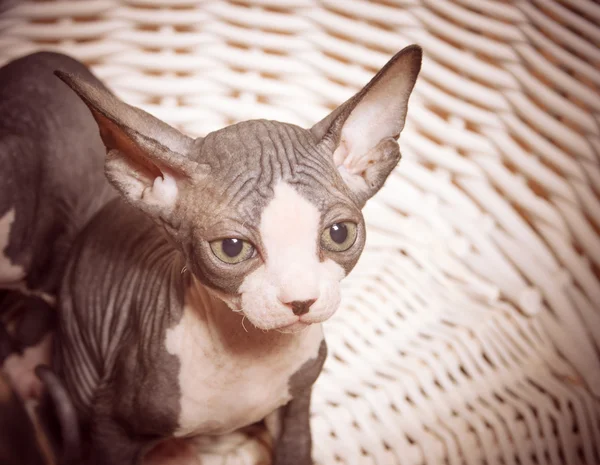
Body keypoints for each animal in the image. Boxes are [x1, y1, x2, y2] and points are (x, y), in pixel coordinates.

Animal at [55, 44, 422, 464]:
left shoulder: (296, 402)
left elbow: (296, 447)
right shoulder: (111, 422)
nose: (301, 301)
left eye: (340, 233)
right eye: (232, 249)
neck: (250, 354)